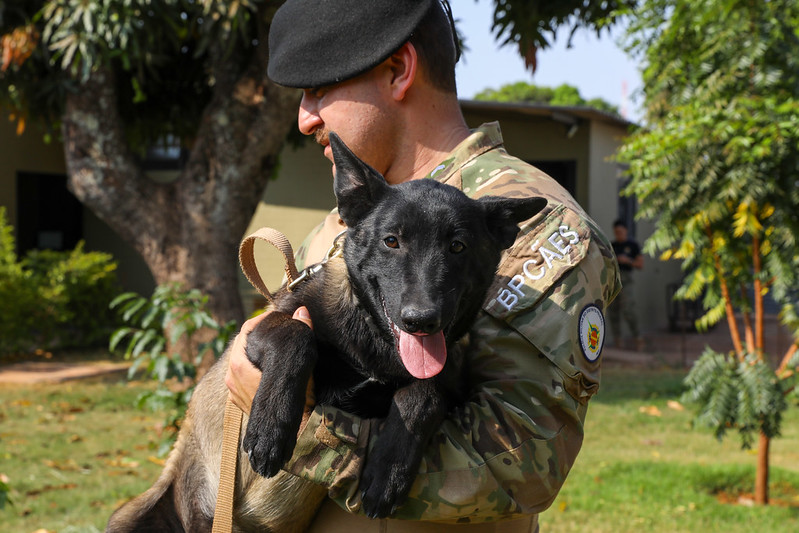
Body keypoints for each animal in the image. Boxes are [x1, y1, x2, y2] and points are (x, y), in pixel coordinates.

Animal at [106, 134, 544, 532]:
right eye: (391, 241)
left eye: (457, 246)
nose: (421, 320)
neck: (373, 338)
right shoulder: (260, 329)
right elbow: (296, 339)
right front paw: (272, 427)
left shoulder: (446, 382)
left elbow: (425, 392)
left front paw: (390, 469)